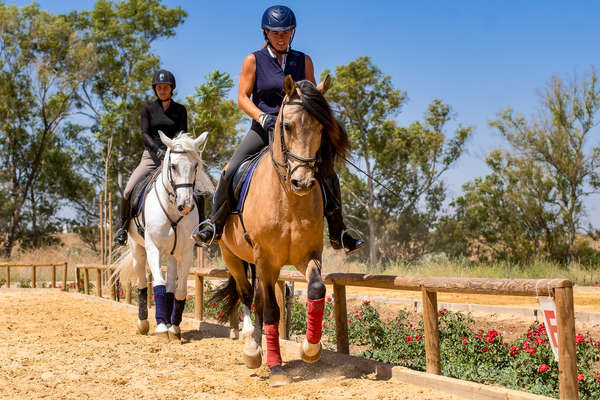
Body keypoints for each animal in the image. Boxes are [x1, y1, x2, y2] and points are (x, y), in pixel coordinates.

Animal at [113, 130, 214, 340]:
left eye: (195, 166)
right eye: (173, 166)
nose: (185, 206)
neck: (172, 209)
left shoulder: (186, 252)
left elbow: (180, 289)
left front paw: (174, 327)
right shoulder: (153, 248)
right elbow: (157, 283)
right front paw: (160, 327)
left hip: (172, 253)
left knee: (170, 286)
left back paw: (168, 323)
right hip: (138, 250)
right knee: (142, 284)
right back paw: (143, 324)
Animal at [213, 74, 350, 384]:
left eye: (322, 128)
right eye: (287, 126)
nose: (303, 182)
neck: (288, 200)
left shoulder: (307, 255)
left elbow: (315, 289)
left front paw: (310, 349)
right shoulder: (265, 259)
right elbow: (271, 310)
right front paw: (276, 369)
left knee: (259, 299)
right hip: (233, 256)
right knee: (247, 295)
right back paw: (253, 351)